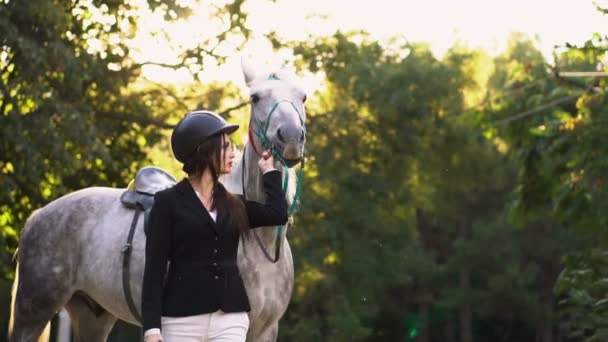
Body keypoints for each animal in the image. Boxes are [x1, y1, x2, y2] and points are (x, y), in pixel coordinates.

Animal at [10, 61, 308, 342]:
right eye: (255, 98)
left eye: (303, 96)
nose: (291, 137)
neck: (259, 239)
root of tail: (37, 216)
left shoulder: (265, 330)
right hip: (33, 311)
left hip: (92, 316)